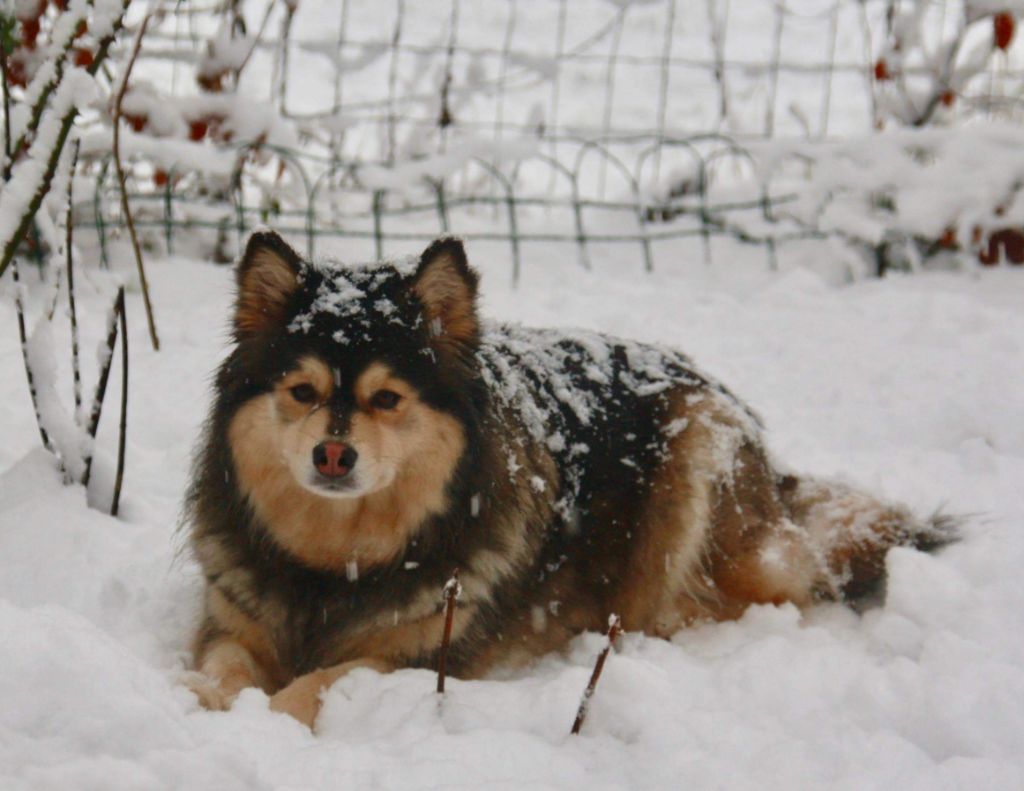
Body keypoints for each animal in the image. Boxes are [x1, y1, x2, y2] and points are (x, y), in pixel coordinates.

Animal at [184, 230, 955, 727]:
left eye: (387, 399)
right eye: (303, 392)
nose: (332, 457)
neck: (334, 562)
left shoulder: (421, 655)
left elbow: (318, 683)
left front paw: (267, 718)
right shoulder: (231, 622)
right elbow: (220, 668)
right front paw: (210, 703)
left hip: (698, 457)